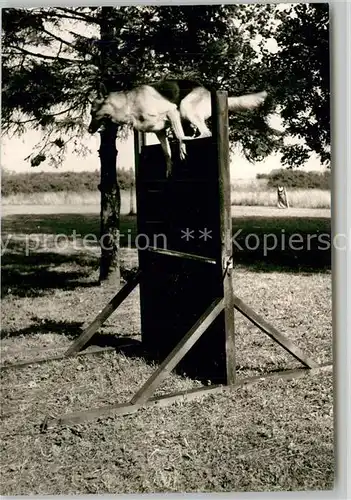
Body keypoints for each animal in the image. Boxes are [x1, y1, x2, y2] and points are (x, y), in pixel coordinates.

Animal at [89, 79, 268, 176]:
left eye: (92, 113)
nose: (89, 130)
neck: (129, 105)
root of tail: (209, 91)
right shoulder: (160, 132)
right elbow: (166, 152)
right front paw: (170, 167)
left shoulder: (172, 111)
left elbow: (179, 136)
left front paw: (182, 147)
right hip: (186, 116)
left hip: (185, 109)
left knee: (205, 133)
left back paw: (192, 139)